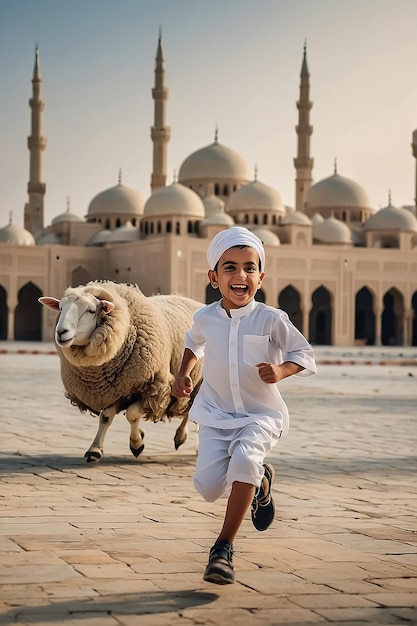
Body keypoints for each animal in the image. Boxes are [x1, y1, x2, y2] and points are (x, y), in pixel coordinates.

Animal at [38, 280, 204, 460]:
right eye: (60, 308)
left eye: (91, 311)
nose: (61, 332)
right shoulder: (116, 390)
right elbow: (106, 417)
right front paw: (95, 449)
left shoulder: (154, 387)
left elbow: (131, 414)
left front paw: (137, 443)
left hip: (197, 382)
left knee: (192, 411)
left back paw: (183, 438)